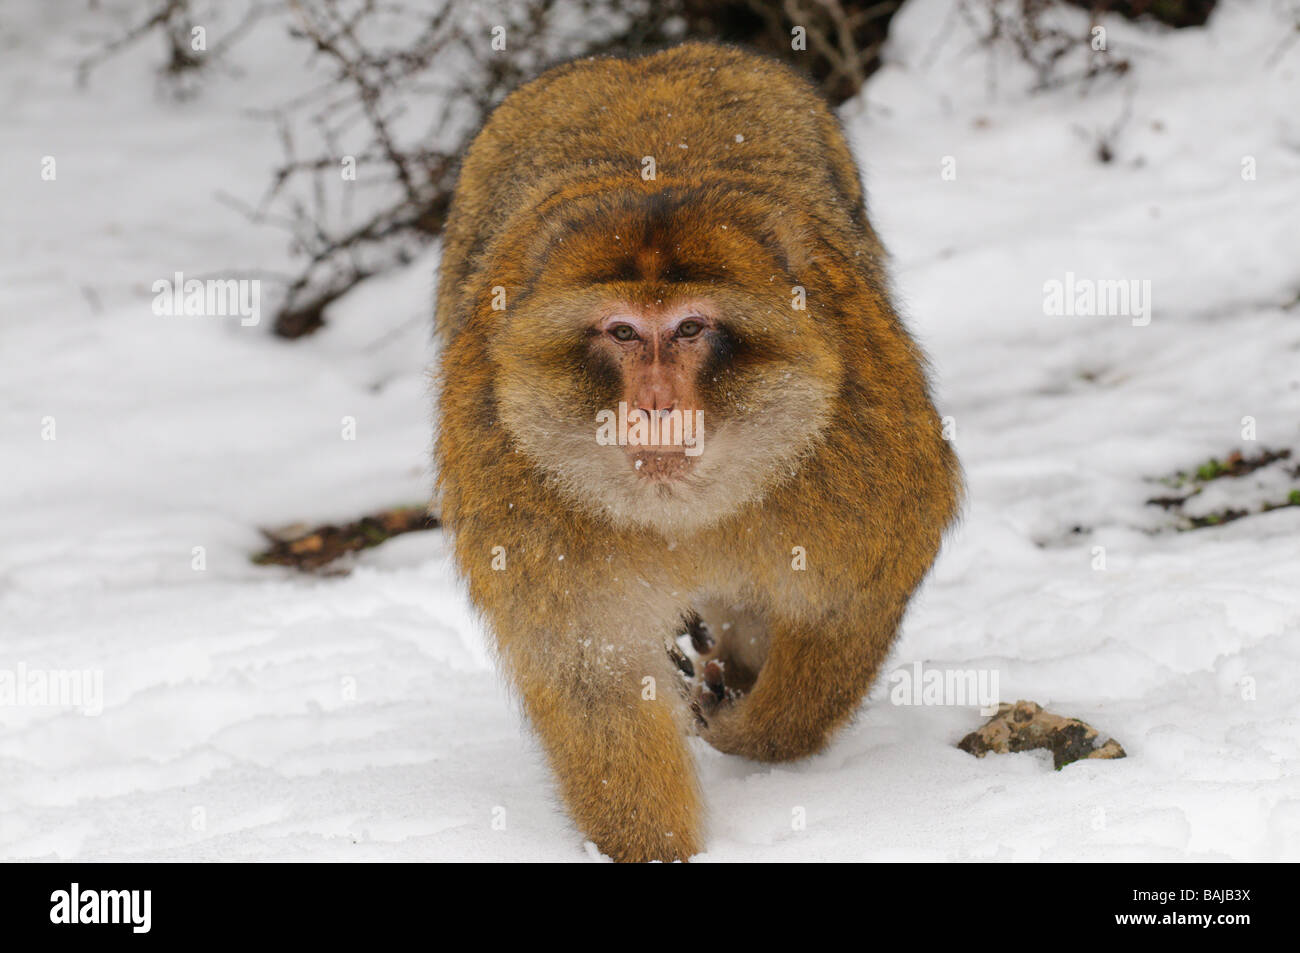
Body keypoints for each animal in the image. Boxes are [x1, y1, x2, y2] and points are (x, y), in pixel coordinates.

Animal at [433, 41, 962, 862]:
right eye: (622, 332)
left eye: (688, 329)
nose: (655, 404)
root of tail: (643, 58)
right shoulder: (515, 483)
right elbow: (594, 676)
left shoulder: (860, 449)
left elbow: (849, 604)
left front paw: (757, 732)